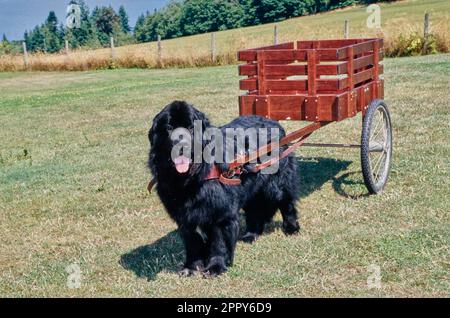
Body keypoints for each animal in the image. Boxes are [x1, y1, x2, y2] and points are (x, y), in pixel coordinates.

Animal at [149, 101, 300, 276]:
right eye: (169, 127)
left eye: (192, 127)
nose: (182, 144)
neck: (192, 178)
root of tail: (274, 123)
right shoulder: (185, 217)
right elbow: (192, 243)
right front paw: (191, 267)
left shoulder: (221, 212)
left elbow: (218, 242)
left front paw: (216, 266)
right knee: (255, 210)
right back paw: (251, 235)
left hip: (277, 183)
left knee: (285, 203)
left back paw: (291, 229)